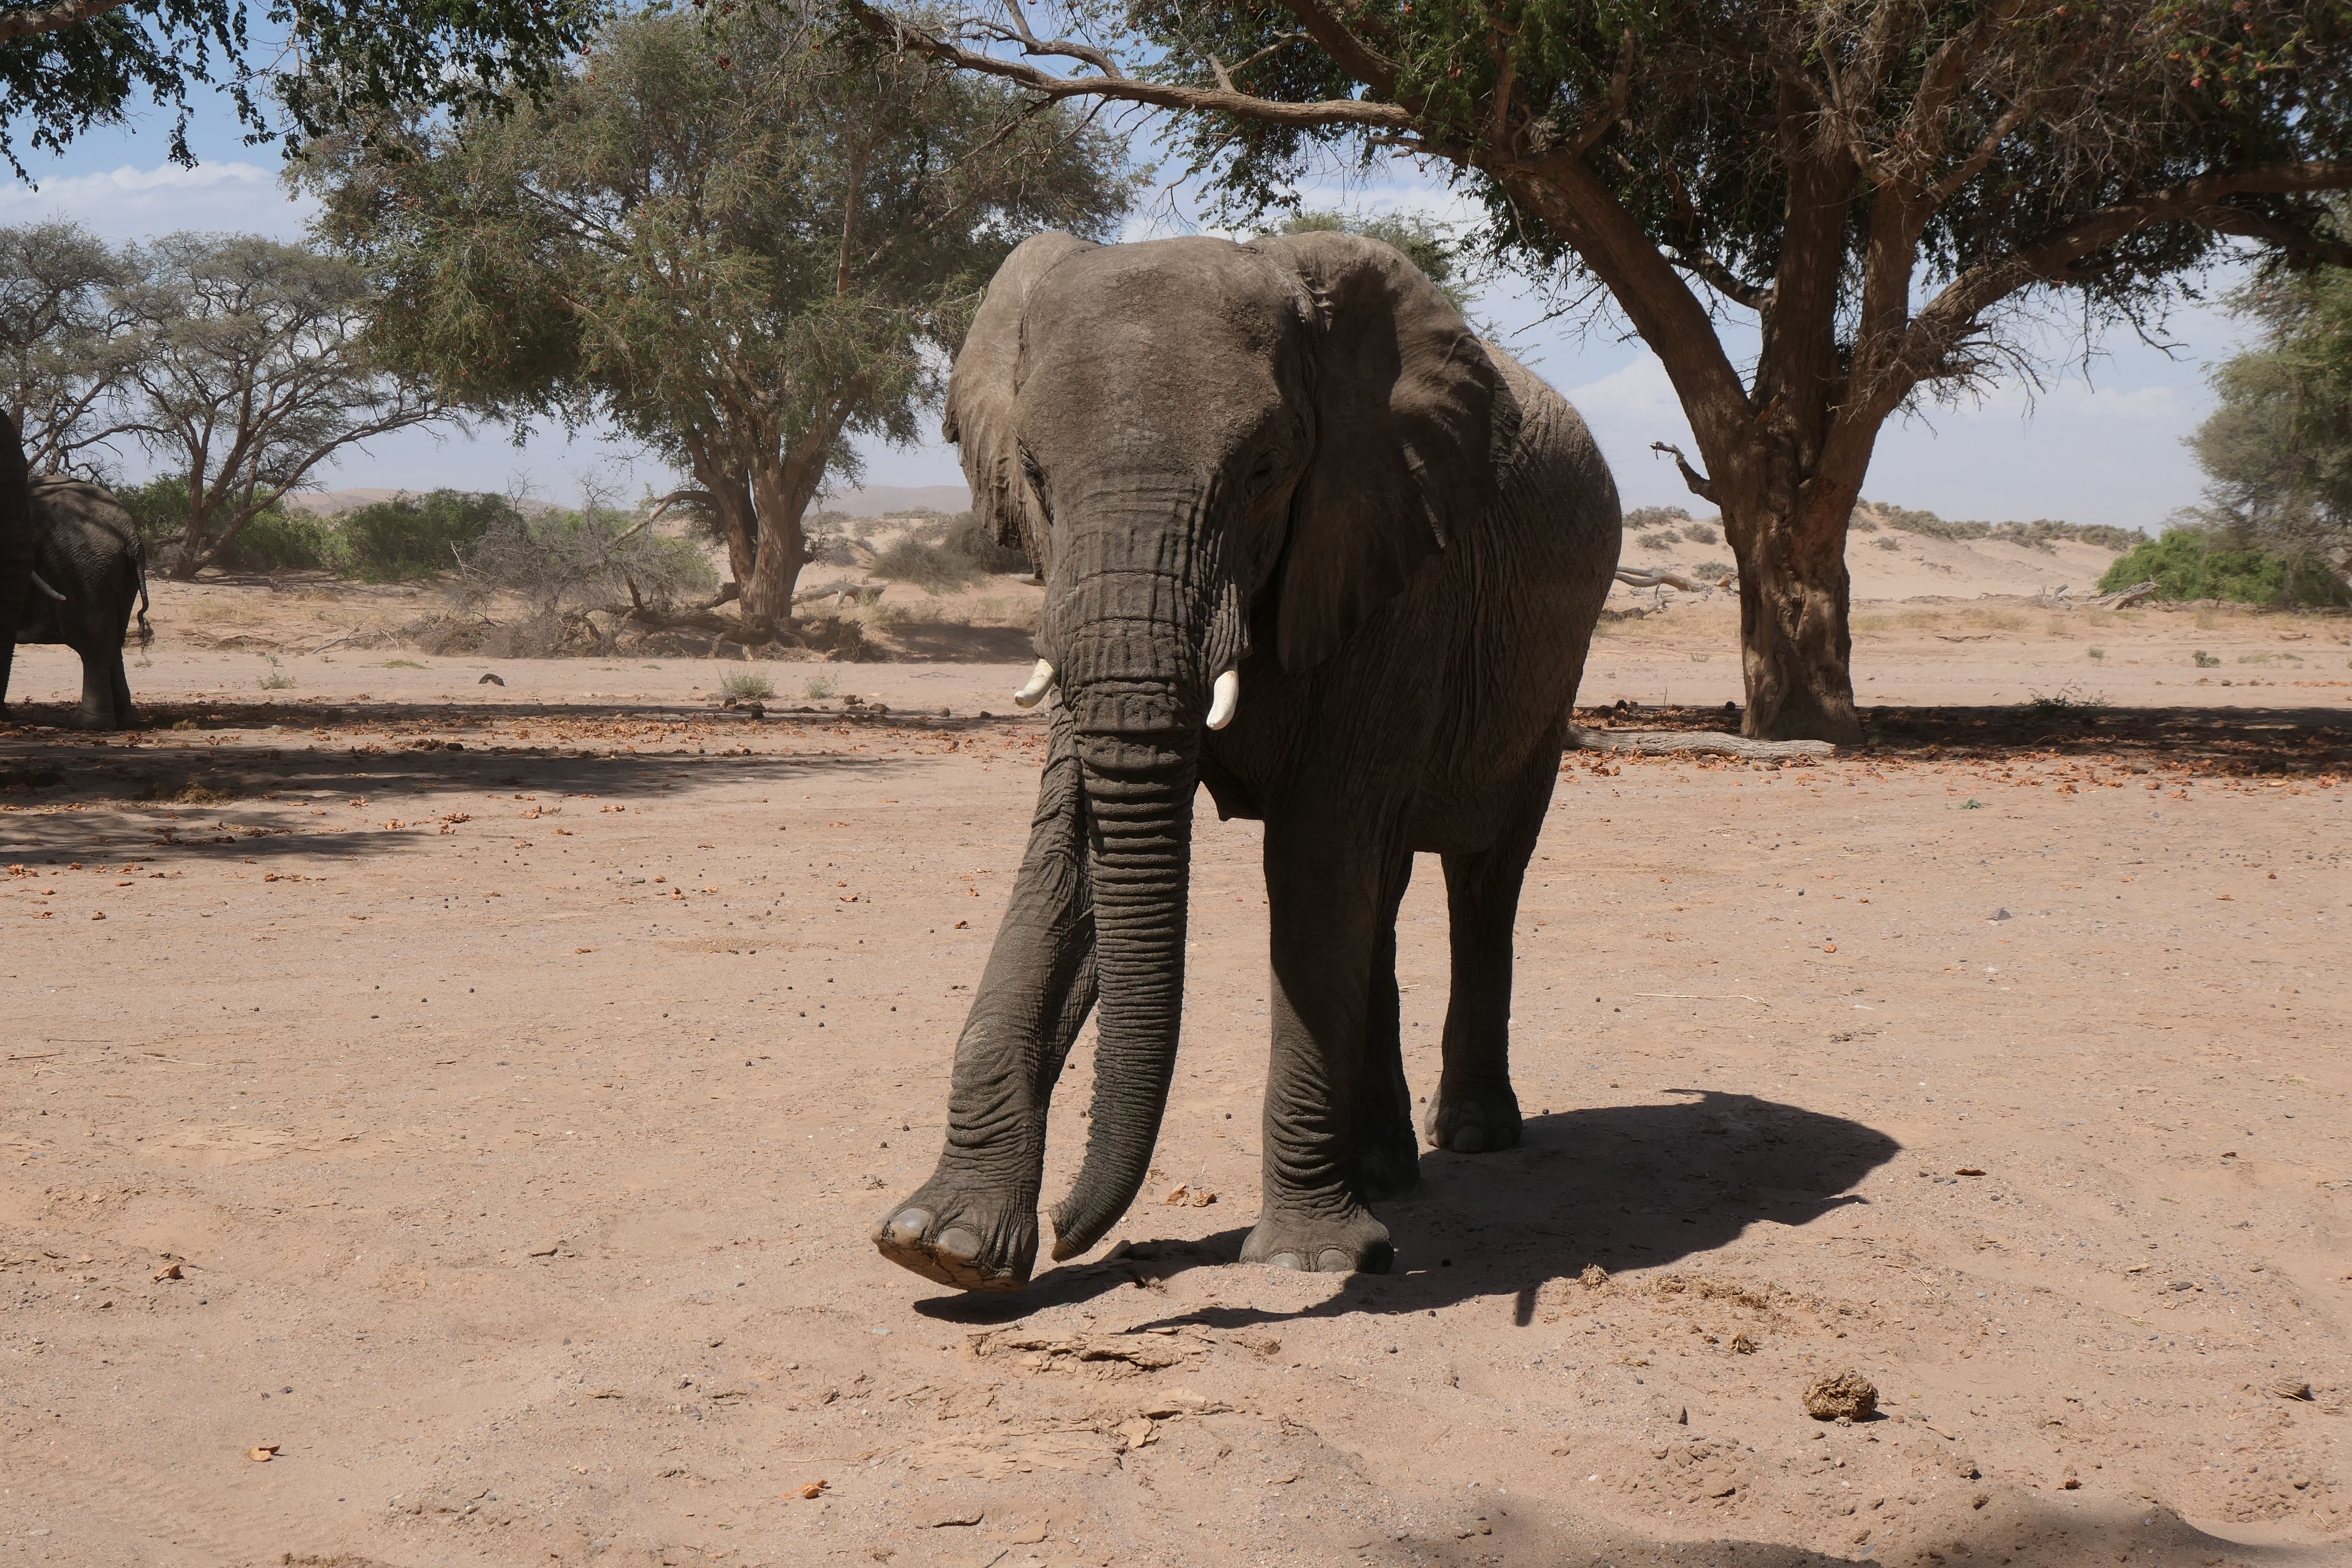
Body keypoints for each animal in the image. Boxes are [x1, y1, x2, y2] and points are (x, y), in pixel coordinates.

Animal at [5, 472, 151, 729]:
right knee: (113, 641)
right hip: (119, 575)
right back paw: (125, 721)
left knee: (91, 639)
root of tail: (131, 536)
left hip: (83, 568)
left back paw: (89, 725)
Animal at [872, 230, 1620, 1292]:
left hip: (1550, 674)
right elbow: (1065, 865)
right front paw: (944, 1247)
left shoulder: (1391, 566)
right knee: (1380, 892)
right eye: (1035, 478)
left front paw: (1311, 1259)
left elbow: (1313, 861)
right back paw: (1385, 1172)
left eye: (1266, 471)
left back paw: (1471, 1137)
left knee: (1482, 874)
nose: (1070, 1232)